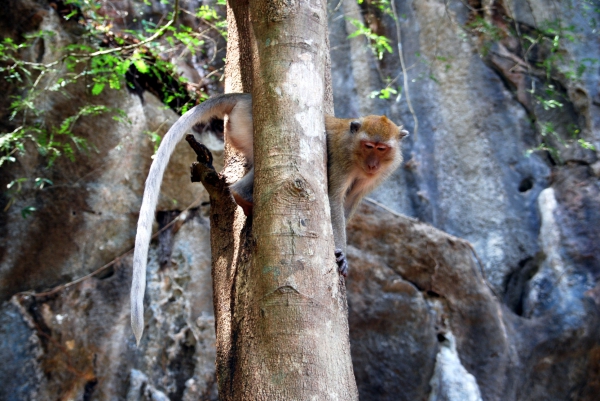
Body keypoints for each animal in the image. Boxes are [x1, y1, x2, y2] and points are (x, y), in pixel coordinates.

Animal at [131, 94, 408, 344]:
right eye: (369, 146)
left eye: (382, 149)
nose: (373, 163)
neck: (357, 155)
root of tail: (245, 97)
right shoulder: (341, 158)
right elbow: (332, 198)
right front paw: (340, 253)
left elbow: (350, 202)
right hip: (254, 125)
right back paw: (242, 195)